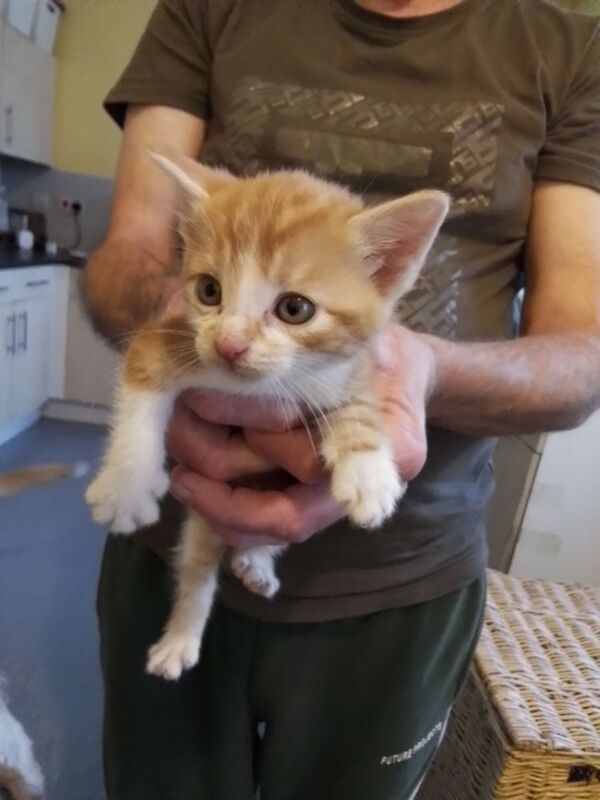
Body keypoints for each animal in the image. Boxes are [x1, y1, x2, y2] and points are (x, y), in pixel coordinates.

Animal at [85, 155, 450, 680]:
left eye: (294, 308)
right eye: (209, 290)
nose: (228, 345)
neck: (254, 388)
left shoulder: (352, 367)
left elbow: (359, 406)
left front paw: (369, 472)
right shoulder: (163, 338)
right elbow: (140, 395)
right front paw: (126, 488)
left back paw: (255, 562)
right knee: (197, 572)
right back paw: (180, 639)